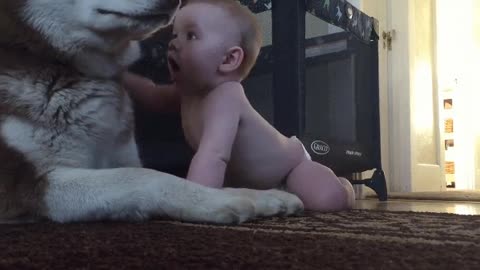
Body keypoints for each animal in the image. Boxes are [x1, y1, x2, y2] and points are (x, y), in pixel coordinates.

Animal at [0, 0, 302, 224]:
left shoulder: (122, 156)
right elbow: (146, 177)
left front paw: (260, 195)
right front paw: (221, 200)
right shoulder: (26, 184)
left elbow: (151, 175)